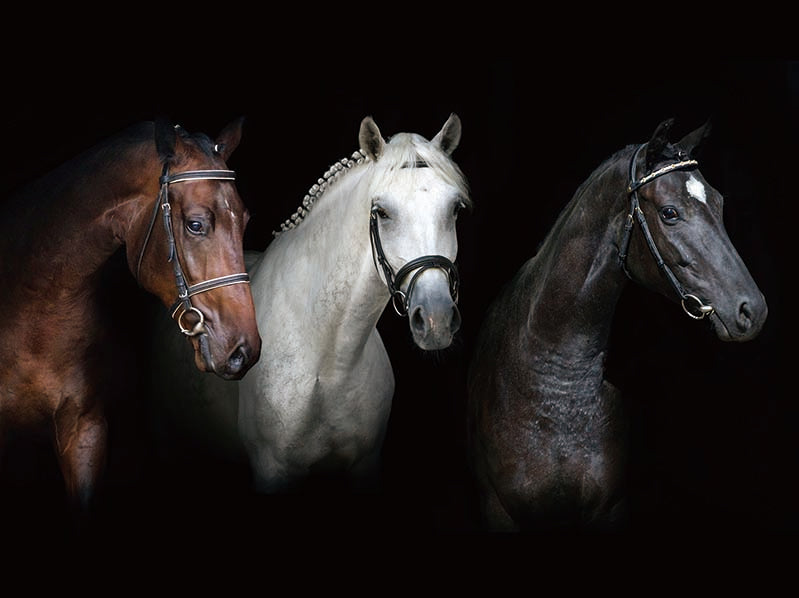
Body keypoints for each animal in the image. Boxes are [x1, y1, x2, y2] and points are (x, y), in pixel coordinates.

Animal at [147, 114, 470, 495]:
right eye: (382, 212)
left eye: (454, 209)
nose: (436, 319)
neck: (329, 360)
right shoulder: (273, 470)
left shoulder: (365, 464)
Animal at [466, 118, 768, 531]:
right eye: (670, 213)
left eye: (719, 203)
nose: (752, 310)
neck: (556, 387)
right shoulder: (501, 511)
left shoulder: (610, 509)